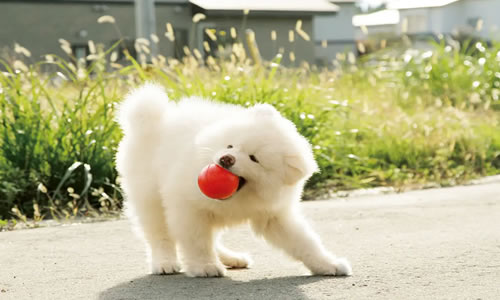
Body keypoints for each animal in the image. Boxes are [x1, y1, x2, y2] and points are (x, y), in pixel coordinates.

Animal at [116, 83, 352, 278]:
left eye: (254, 158)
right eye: (230, 146)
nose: (226, 159)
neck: (240, 196)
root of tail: (156, 119)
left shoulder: (274, 216)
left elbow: (304, 243)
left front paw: (329, 265)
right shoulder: (188, 208)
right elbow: (196, 241)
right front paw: (205, 267)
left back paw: (232, 258)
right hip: (150, 198)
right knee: (160, 235)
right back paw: (164, 263)